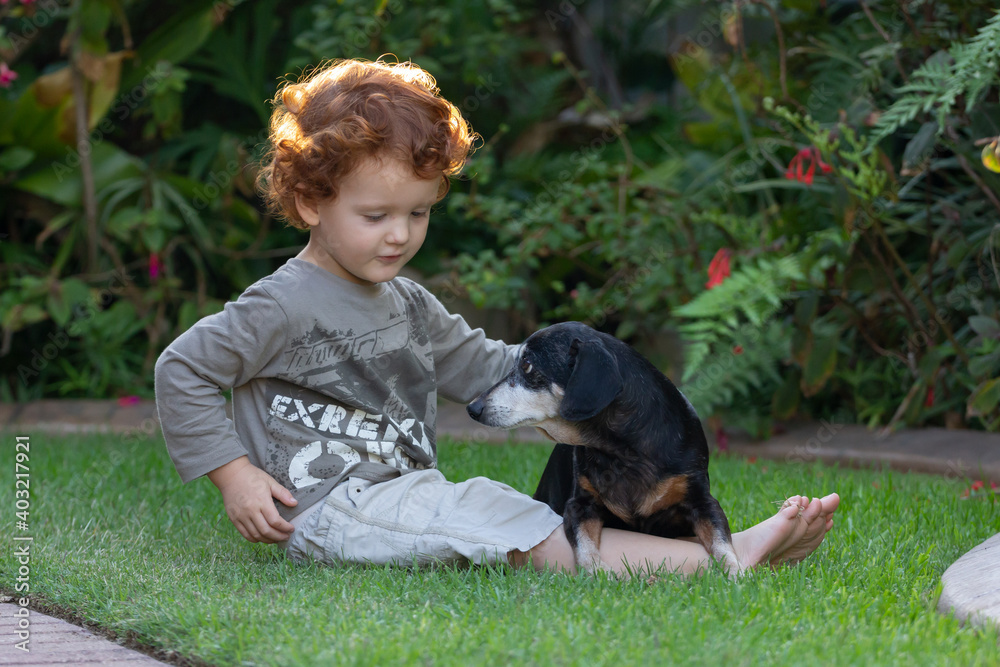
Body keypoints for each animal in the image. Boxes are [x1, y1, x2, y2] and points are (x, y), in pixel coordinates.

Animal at [466, 321, 742, 576]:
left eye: (527, 365)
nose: (472, 408)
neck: (623, 452)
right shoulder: (579, 505)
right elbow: (584, 543)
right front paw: (597, 571)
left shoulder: (702, 502)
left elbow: (721, 541)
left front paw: (735, 572)